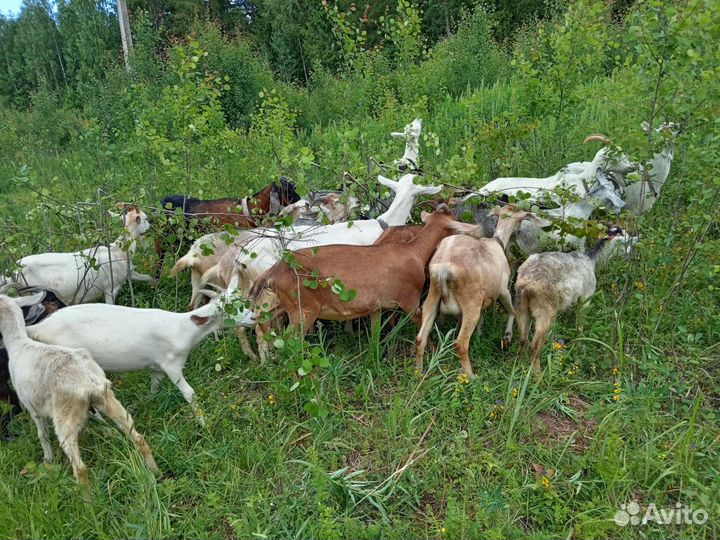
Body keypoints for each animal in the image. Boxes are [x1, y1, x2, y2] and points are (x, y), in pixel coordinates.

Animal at [1, 206, 151, 305]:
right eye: (146, 219)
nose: (151, 226)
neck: (118, 251)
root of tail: (12, 272)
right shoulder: (110, 287)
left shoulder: (129, 273)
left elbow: (148, 277)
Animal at [26, 280, 243, 426]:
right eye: (230, 308)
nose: (252, 318)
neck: (182, 328)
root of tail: (39, 328)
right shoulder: (172, 365)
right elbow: (190, 393)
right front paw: (204, 423)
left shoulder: (157, 367)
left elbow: (155, 386)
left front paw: (150, 403)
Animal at [248, 205, 480, 337]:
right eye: (454, 222)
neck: (414, 252)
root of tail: (274, 271)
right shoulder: (409, 300)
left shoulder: (376, 307)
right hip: (303, 310)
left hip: (283, 304)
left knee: (266, 324)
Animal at [414, 206, 547, 377]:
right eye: (520, 220)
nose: (518, 232)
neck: (497, 241)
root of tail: (444, 270)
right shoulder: (502, 289)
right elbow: (511, 311)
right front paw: (507, 338)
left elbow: (482, 320)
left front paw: (479, 336)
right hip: (471, 303)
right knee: (460, 344)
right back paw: (471, 376)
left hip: (433, 297)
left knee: (420, 339)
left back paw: (419, 372)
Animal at [510, 226, 637, 374]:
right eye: (625, 241)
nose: (630, 254)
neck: (591, 260)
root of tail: (527, 285)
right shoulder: (586, 296)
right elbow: (580, 322)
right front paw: (580, 343)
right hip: (545, 310)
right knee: (534, 345)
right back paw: (538, 375)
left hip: (521, 306)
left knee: (523, 339)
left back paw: (518, 365)